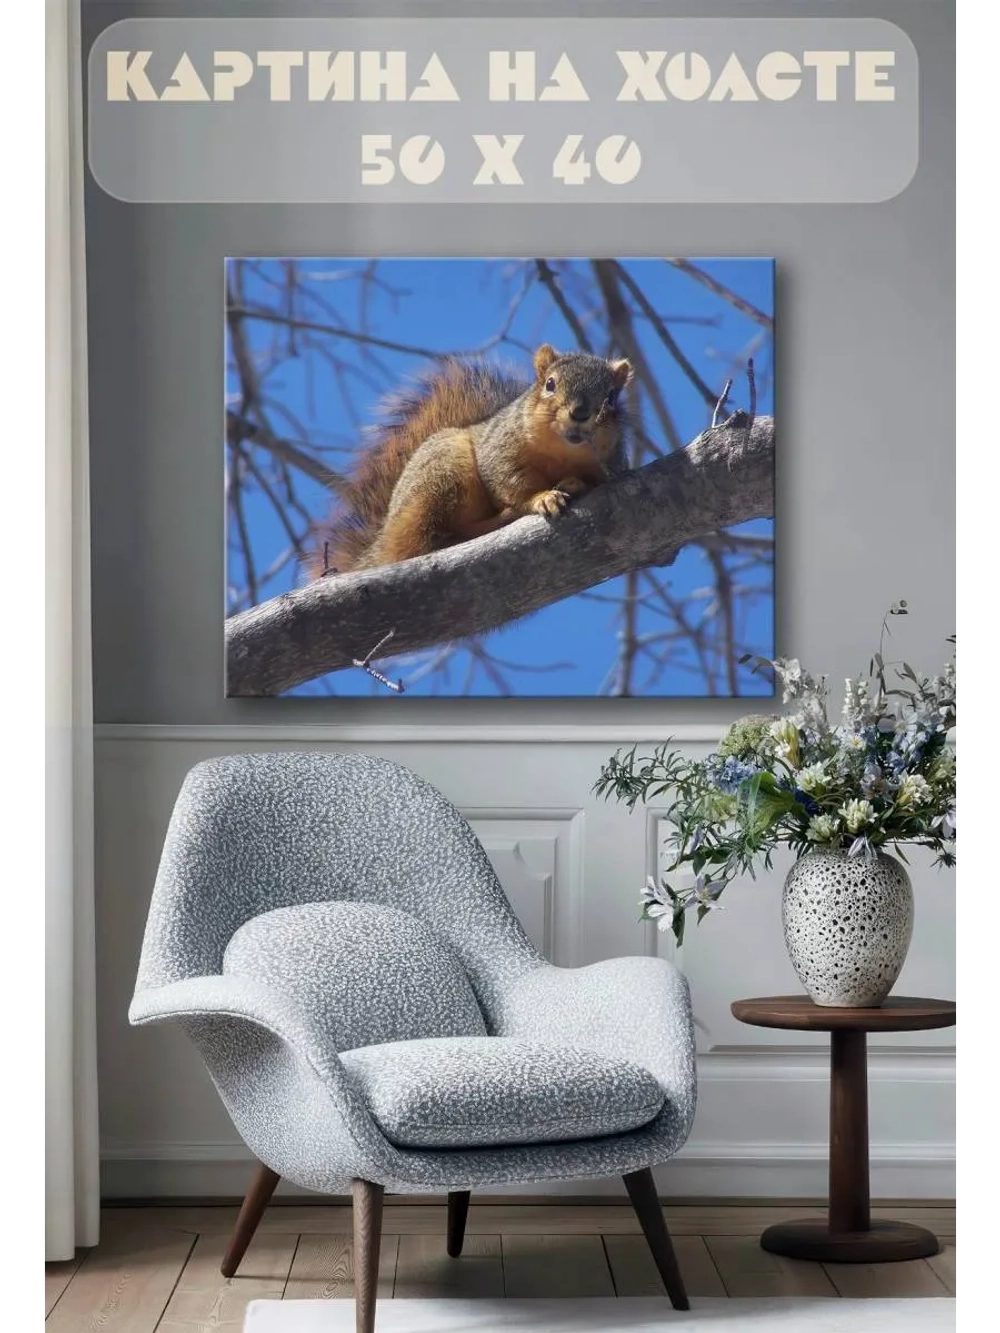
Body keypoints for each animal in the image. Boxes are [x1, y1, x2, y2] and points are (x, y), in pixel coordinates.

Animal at [308, 343, 634, 576]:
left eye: (611, 397)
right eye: (550, 384)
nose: (580, 413)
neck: (563, 452)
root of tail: (382, 540)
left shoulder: (611, 463)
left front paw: (575, 484)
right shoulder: (500, 449)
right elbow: (510, 481)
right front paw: (542, 498)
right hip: (443, 469)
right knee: (433, 536)